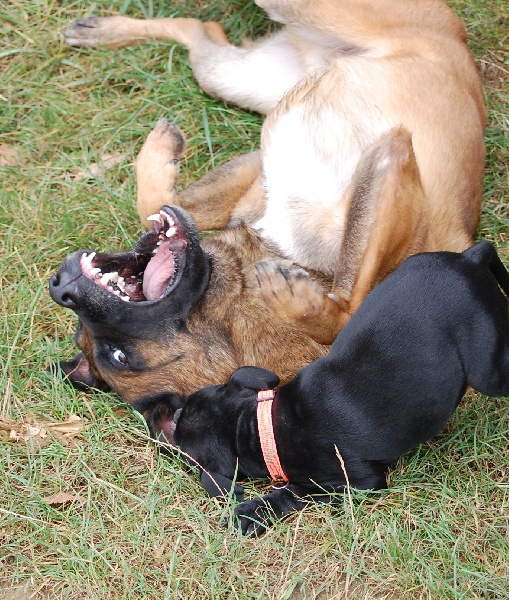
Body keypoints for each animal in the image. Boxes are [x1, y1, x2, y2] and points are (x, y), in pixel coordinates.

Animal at [140, 241, 508, 536]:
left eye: (179, 428)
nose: (167, 414)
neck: (261, 426)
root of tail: (467, 261)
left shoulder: (360, 482)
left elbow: (296, 491)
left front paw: (251, 514)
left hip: (486, 369)